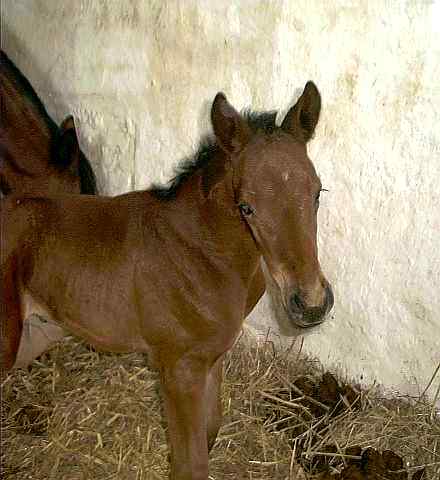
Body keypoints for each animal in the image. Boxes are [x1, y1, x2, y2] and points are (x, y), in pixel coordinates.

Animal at [0, 82, 334, 480]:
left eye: (316, 193)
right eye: (246, 207)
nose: (311, 303)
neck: (200, 252)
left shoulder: (212, 357)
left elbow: (209, 431)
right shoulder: (179, 369)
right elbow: (191, 463)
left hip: (37, 332)